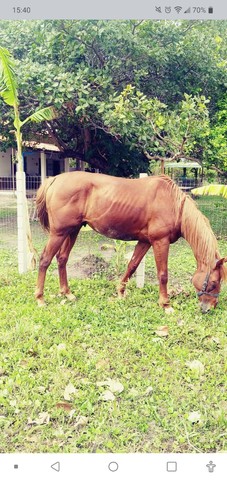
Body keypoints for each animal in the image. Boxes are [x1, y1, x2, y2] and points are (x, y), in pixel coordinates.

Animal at [34, 171, 226, 314]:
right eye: (214, 283)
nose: (209, 308)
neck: (174, 206)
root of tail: (54, 180)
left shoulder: (145, 242)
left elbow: (132, 266)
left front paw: (120, 292)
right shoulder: (160, 242)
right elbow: (163, 274)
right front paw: (165, 304)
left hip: (72, 231)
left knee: (62, 259)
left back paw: (67, 293)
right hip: (59, 233)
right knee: (45, 260)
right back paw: (40, 298)